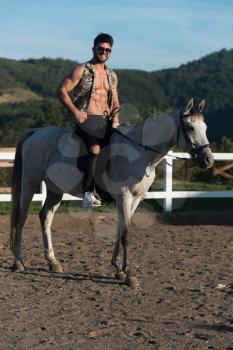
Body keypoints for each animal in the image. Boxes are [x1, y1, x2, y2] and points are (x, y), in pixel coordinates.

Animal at [10, 98, 213, 288]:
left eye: (205, 127)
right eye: (190, 127)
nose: (208, 160)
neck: (140, 152)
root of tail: (35, 132)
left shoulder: (134, 199)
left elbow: (120, 231)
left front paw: (118, 269)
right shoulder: (124, 197)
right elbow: (127, 235)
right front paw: (129, 275)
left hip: (55, 190)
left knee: (45, 217)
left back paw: (52, 262)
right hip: (30, 182)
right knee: (21, 217)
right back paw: (19, 262)